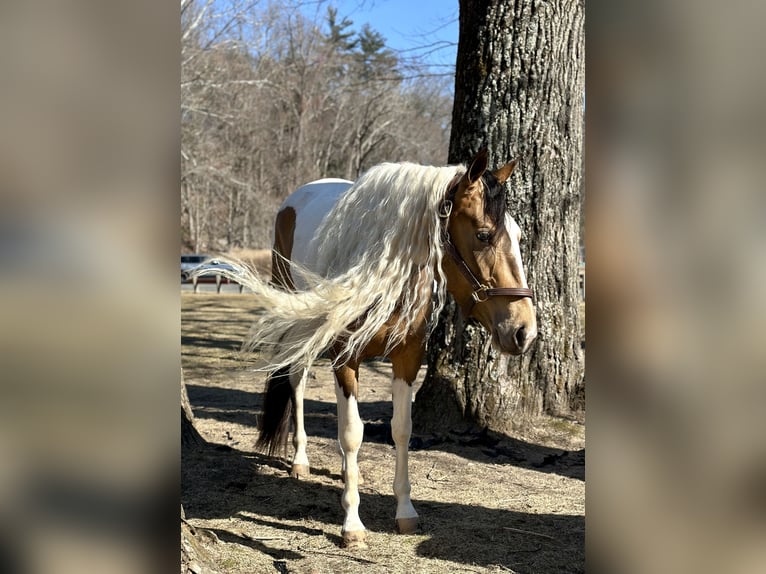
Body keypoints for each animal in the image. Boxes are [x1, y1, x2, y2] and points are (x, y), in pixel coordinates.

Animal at [219, 148, 536, 548]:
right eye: (483, 234)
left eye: (518, 234)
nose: (524, 330)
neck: (385, 274)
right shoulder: (345, 359)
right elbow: (352, 434)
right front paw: (352, 523)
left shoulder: (408, 358)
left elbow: (401, 429)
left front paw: (405, 510)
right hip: (299, 320)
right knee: (297, 379)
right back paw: (301, 459)